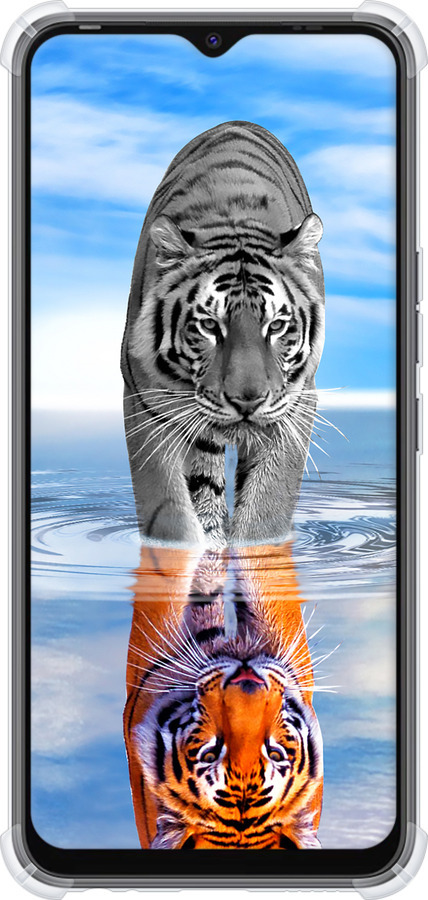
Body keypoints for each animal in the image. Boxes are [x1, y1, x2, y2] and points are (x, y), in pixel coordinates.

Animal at [121, 120, 325, 548]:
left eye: (276, 326)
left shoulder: (296, 404)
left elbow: (267, 509)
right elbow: (169, 511)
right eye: (210, 326)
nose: (247, 401)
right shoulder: (145, 401)